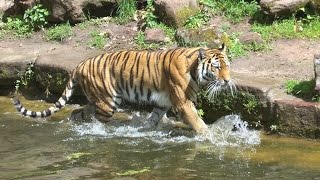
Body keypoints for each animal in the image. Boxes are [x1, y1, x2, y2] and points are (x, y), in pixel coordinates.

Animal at [11, 44, 235, 135]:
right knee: (98, 122)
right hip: (107, 102)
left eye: (227, 66)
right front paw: (211, 137)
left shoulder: (163, 103)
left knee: (77, 112)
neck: (195, 71)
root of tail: (80, 64)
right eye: (217, 67)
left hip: (95, 100)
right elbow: (198, 122)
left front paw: (144, 130)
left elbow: (153, 120)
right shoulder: (183, 102)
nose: (227, 80)